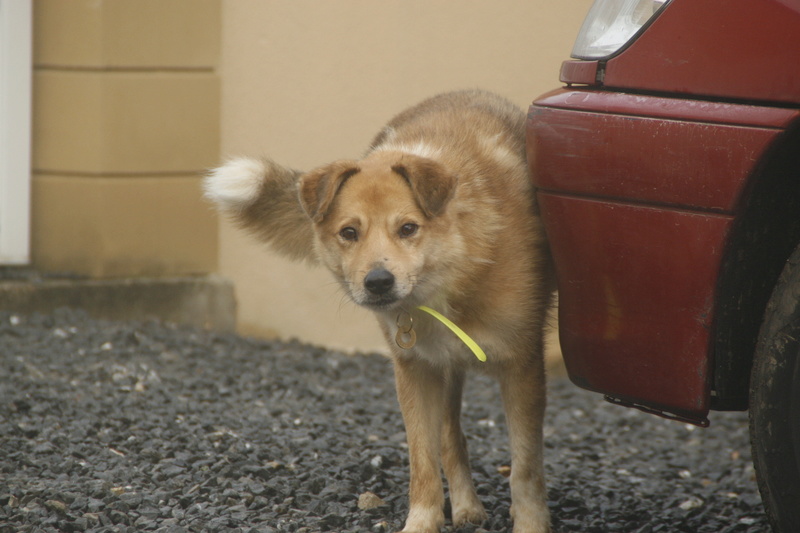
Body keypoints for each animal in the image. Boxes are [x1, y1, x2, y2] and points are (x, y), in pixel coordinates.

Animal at [206, 91, 552, 532]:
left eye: (408, 228)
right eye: (349, 233)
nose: (378, 282)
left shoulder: (523, 368)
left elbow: (525, 468)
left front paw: (531, 523)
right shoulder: (415, 370)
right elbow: (423, 464)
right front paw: (422, 523)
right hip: (443, 367)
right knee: (449, 438)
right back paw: (466, 506)